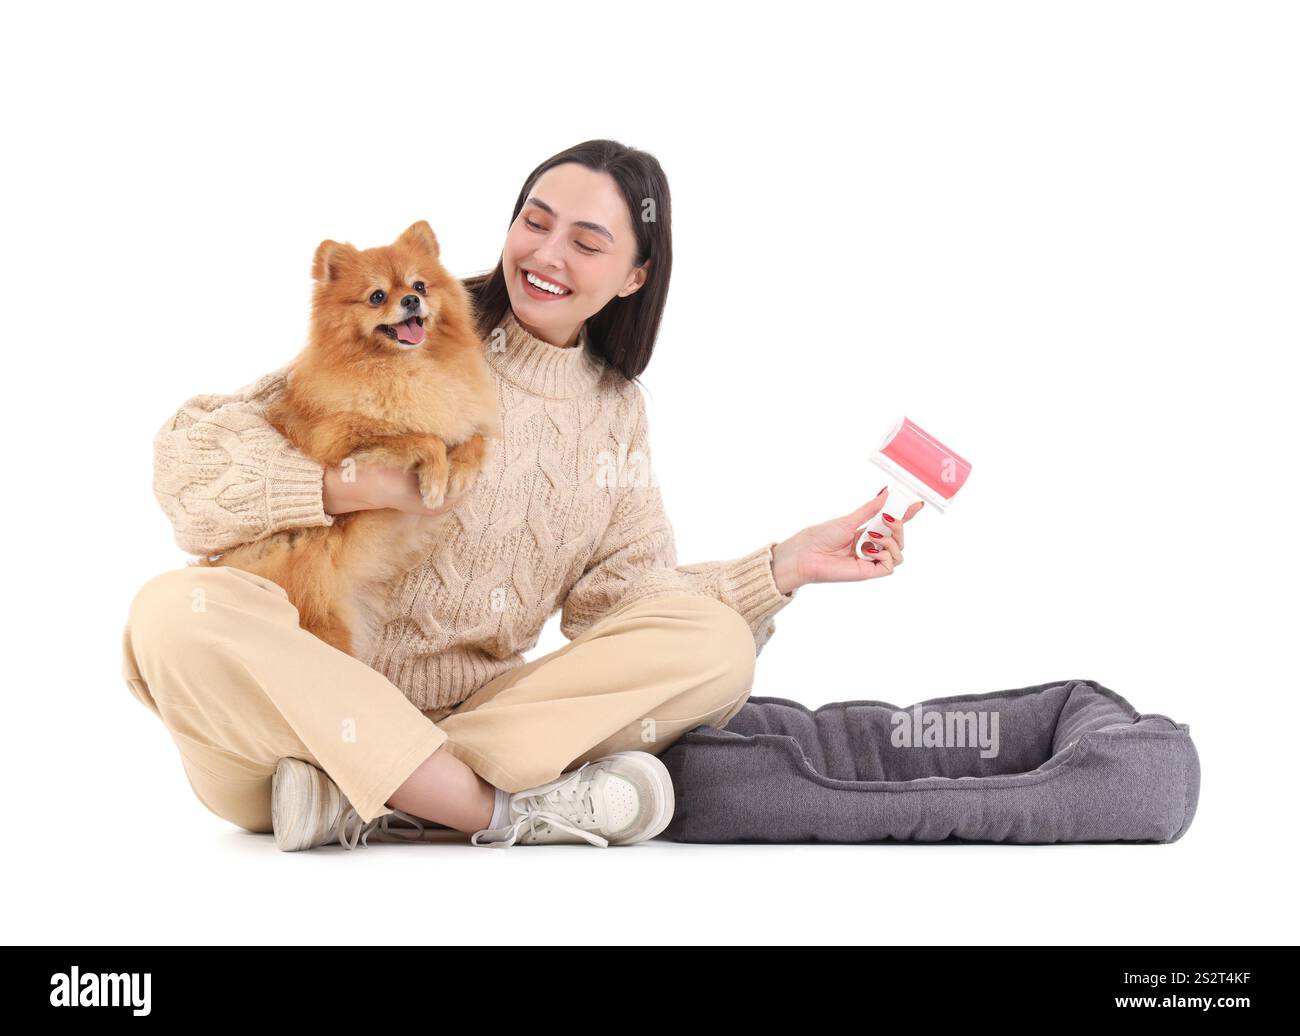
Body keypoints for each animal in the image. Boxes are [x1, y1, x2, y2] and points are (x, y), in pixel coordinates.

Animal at [198, 219, 501, 657]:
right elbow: (420, 437)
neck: (406, 370)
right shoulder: (343, 440)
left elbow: (475, 439)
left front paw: (459, 470)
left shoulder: (462, 417)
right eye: (377, 296)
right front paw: (435, 479)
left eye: (420, 285)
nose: (411, 299)